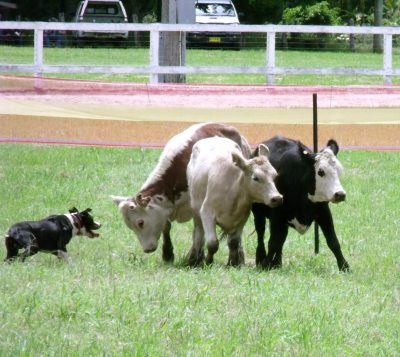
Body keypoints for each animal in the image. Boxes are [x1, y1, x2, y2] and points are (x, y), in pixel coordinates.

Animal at [111, 122, 250, 262]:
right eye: (130, 226)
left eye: (140, 223)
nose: (147, 249)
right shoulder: (164, 207)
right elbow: (166, 227)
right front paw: (167, 253)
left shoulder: (195, 205)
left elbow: (198, 232)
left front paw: (195, 257)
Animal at [187, 135, 282, 266]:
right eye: (256, 178)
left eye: (275, 176)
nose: (276, 198)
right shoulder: (207, 213)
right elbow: (212, 243)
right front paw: (208, 261)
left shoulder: (242, 218)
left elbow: (233, 242)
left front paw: (232, 263)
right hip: (196, 212)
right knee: (198, 235)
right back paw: (194, 259)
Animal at [253, 135, 350, 272]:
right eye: (321, 172)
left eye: (339, 170)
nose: (340, 194)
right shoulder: (277, 214)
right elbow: (273, 242)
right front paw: (266, 264)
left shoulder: (324, 212)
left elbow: (333, 241)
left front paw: (344, 266)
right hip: (258, 212)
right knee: (261, 233)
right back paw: (261, 258)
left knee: (281, 238)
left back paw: (277, 263)